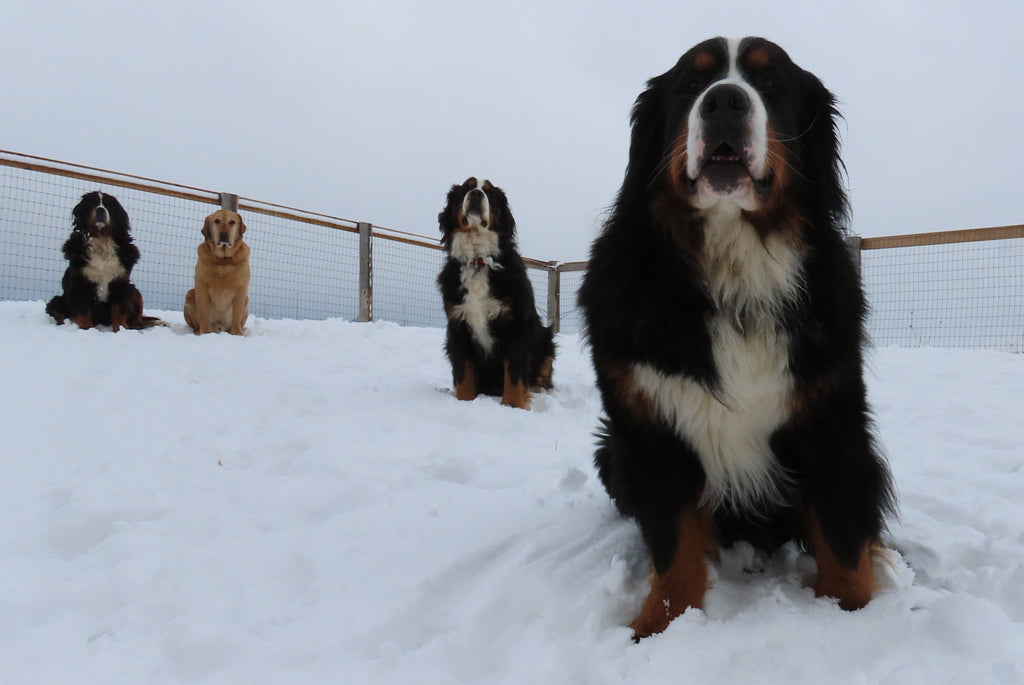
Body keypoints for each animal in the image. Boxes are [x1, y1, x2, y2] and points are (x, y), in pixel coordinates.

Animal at [44, 189, 162, 331]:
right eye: (92, 204)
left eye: (108, 205)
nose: (100, 210)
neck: (101, 240)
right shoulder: (79, 283)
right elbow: (83, 313)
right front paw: (86, 329)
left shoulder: (121, 282)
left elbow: (118, 311)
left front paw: (120, 330)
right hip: (56, 301)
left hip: (134, 291)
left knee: (137, 320)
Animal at [436, 179, 557, 409]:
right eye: (467, 187)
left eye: (490, 193)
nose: (476, 194)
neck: (478, 260)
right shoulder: (458, 323)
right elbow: (464, 371)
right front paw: (464, 400)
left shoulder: (515, 322)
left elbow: (514, 374)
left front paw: (513, 405)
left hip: (546, 339)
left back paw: (539, 387)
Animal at [577, 37, 897, 634]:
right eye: (689, 84)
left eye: (770, 83)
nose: (725, 101)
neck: (733, 264)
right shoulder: (651, 429)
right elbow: (673, 545)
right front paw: (660, 626)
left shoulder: (832, 418)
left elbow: (842, 538)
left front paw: (850, 616)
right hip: (612, 451)